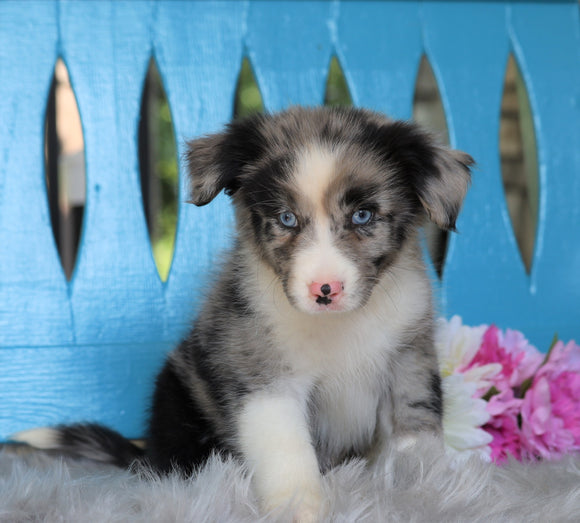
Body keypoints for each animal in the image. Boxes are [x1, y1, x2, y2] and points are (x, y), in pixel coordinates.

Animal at [15, 108, 474, 520]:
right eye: (286, 219)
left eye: (363, 215)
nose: (325, 290)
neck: (338, 326)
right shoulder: (265, 375)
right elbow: (287, 452)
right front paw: (300, 510)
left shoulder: (408, 358)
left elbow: (415, 431)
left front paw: (428, 490)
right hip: (177, 408)